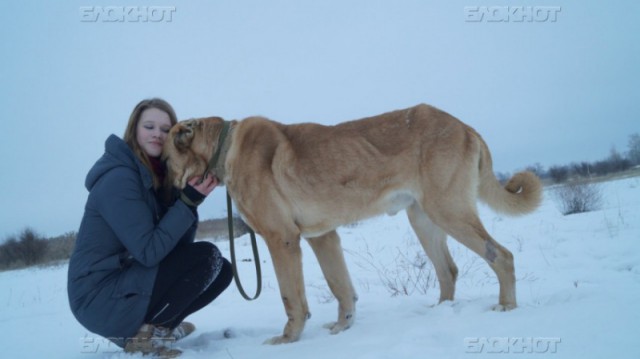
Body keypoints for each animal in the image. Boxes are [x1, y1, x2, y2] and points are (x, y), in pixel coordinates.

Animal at [162, 104, 544, 346]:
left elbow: (291, 298)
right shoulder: (322, 237)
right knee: (448, 270)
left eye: (164, 160)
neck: (223, 147)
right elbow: (341, 287)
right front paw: (342, 327)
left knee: (501, 255)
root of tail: (464, 125)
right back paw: (442, 311)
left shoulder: (281, 239)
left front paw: (289, 338)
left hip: (448, 211)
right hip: (424, 219)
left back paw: (505, 306)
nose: (159, 190)